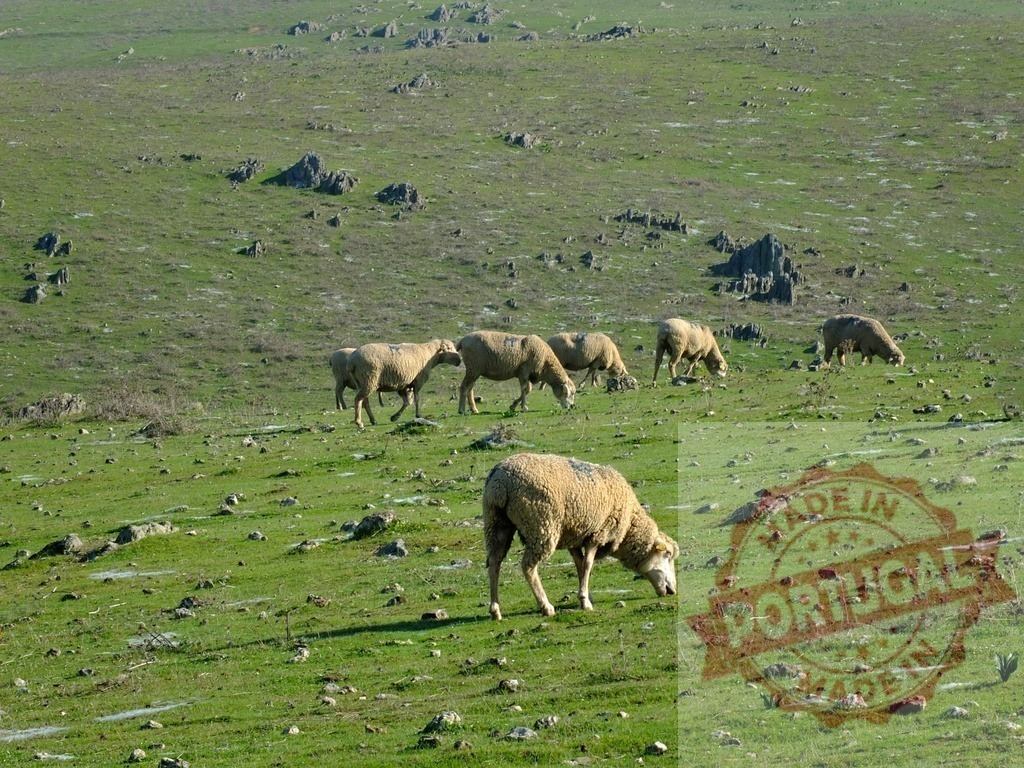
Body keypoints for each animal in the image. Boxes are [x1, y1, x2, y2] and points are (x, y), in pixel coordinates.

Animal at [482, 452, 679, 620]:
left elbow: (579, 565)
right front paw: (585, 601)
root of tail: (501, 480)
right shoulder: (597, 534)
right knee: (528, 567)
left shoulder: (575, 537)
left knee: (494, 563)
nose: (674, 590)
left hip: (496, 522)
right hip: (541, 526)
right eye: (667, 554)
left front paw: (586, 596)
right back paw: (546, 607)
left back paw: (495, 610)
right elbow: (587, 564)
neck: (628, 525)